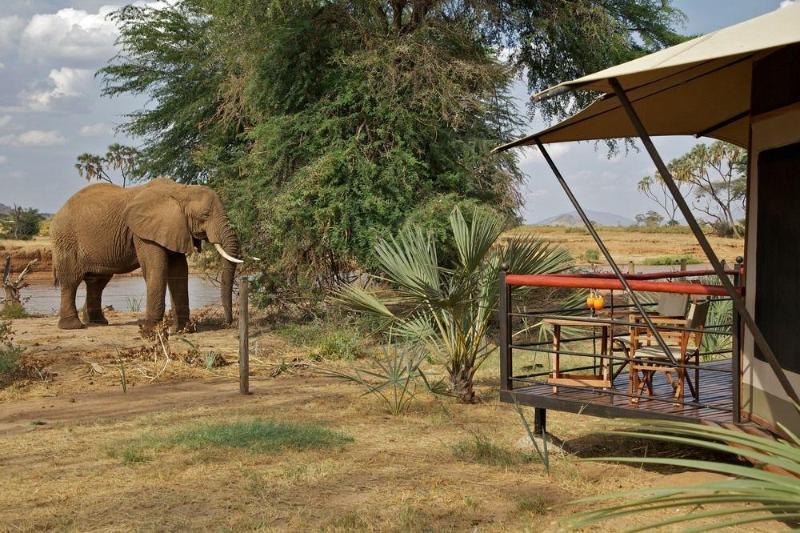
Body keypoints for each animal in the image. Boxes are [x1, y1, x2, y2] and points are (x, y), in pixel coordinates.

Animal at [51, 177, 242, 330]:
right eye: (205, 215)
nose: (227, 323)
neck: (180, 190)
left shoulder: (173, 228)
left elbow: (179, 271)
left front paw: (182, 330)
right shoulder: (144, 233)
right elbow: (156, 269)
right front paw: (149, 328)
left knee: (97, 281)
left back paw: (98, 323)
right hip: (67, 239)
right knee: (71, 280)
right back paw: (73, 326)